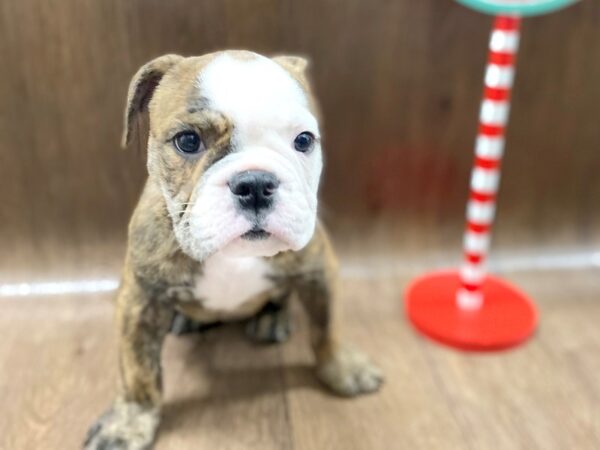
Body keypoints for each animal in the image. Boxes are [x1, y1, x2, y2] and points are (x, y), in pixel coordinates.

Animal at [83, 51, 384, 448]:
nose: (255, 183)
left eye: (304, 140)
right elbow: (138, 369)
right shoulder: (140, 299)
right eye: (188, 141)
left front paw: (343, 366)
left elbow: (328, 326)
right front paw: (129, 421)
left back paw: (273, 318)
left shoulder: (320, 271)